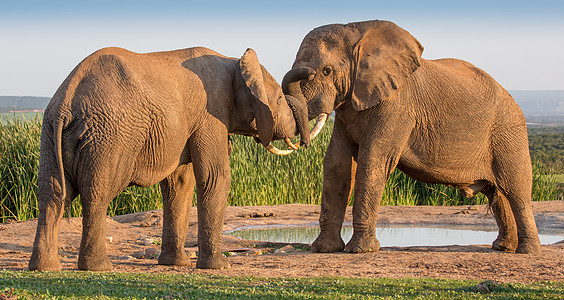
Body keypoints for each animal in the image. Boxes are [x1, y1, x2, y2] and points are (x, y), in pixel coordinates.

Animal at [28, 47, 310, 272]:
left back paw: (45, 268)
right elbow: (215, 177)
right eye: (280, 99)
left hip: (49, 134)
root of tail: (66, 101)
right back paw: (98, 268)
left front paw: (177, 264)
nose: (310, 73)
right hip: (107, 137)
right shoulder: (211, 113)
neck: (234, 61)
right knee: (97, 193)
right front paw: (219, 266)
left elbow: (179, 183)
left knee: (52, 194)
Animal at [282, 20, 540, 255]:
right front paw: (324, 249)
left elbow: (373, 161)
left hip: (508, 131)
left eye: (327, 71)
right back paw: (503, 247)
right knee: (498, 193)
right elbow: (337, 165)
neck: (357, 31)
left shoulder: (397, 105)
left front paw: (361, 251)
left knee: (516, 189)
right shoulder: (348, 106)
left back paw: (527, 251)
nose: (302, 142)